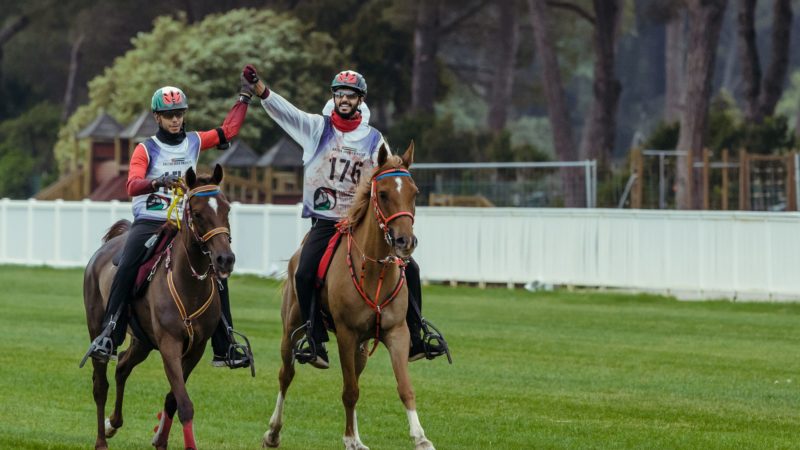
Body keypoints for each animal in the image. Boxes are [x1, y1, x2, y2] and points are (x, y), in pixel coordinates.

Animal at [82, 165, 233, 450]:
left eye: (226, 209)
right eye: (197, 213)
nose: (225, 259)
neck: (188, 285)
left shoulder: (195, 348)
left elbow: (173, 399)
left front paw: (160, 440)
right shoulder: (169, 344)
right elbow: (184, 404)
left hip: (142, 341)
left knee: (122, 367)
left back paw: (113, 423)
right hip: (99, 328)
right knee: (100, 385)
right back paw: (101, 439)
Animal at [266, 143, 434, 450]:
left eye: (414, 193)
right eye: (383, 194)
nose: (405, 241)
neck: (375, 271)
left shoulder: (396, 333)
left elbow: (404, 387)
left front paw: (420, 438)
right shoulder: (346, 334)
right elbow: (349, 391)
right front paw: (349, 438)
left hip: (362, 346)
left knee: (354, 375)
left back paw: (356, 437)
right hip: (291, 330)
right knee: (286, 375)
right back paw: (273, 432)